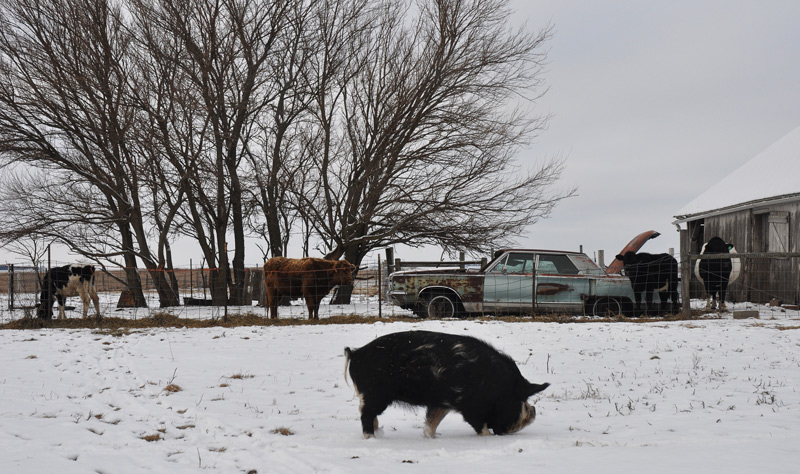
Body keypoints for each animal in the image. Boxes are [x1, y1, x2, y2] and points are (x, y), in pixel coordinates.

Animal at [344, 330, 550, 439]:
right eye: (519, 400)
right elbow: (480, 427)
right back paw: (372, 438)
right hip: (375, 393)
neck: (496, 386)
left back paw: (379, 432)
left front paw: (431, 438)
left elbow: (432, 421)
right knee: (365, 414)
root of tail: (355, 354)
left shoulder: (442, 402)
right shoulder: (471, 407)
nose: (533, 410)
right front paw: (488, 438)